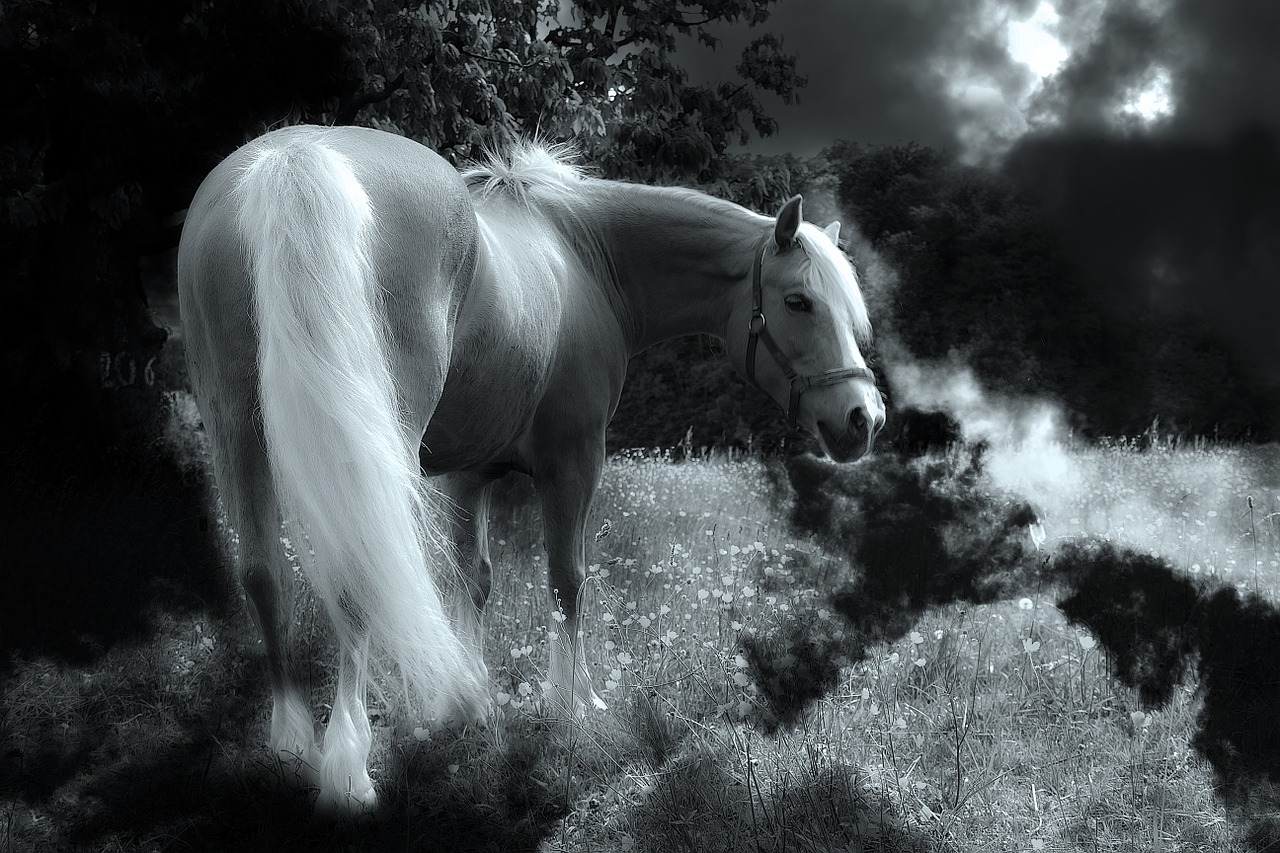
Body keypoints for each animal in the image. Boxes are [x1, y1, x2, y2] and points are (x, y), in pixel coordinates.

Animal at [176, 124, 884, 813]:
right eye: (798, 301)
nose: (864, 417)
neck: (584, 254)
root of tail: (294, 158)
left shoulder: (465, 475)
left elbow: (474, 579)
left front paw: (468, 703)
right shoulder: (573, 459)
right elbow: (568, 579)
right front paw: (570, 704)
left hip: (237, 429)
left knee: (262, 574)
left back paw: (290, 742)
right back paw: (348, 767)